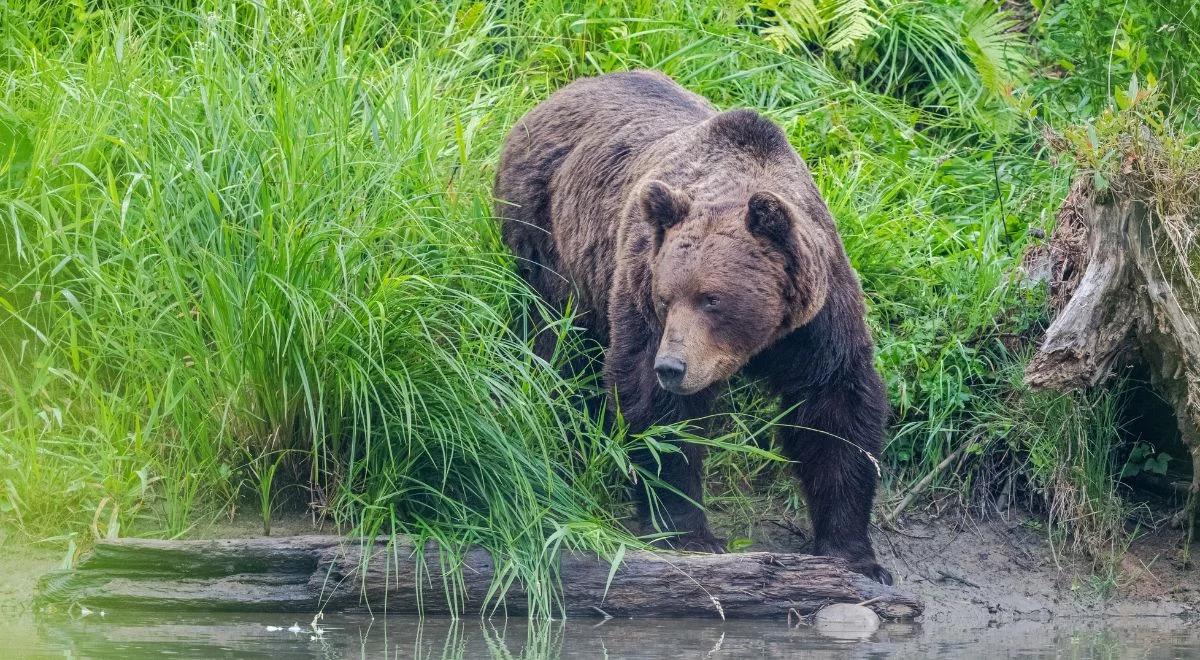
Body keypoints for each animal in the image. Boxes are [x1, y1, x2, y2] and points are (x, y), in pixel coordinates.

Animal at [494, 69, 892, 585]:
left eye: (712, 299)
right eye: (667, 298)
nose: (673, 366)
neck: (761, 341)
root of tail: (552, 96)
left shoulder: (817, 320)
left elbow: (836, 412)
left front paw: (853, 554)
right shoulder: (639, 287)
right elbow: (657, 412)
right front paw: (688, 532)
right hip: (545, 241)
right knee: (551, 339)